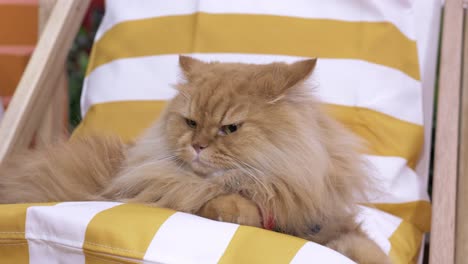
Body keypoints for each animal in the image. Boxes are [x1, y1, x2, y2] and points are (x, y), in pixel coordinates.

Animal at [0, 56, 392, 264]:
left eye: (229, 128)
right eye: (190, 122)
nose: (198, 145)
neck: (271, 181)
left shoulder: (324, 222)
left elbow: (368, 249)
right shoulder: (167, 190)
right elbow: (218, 200)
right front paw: (238, 209)